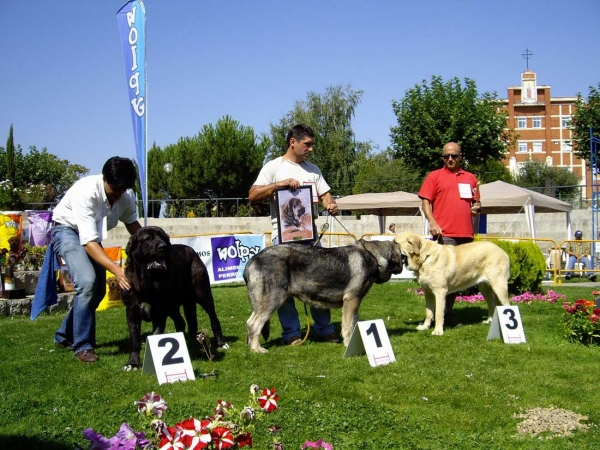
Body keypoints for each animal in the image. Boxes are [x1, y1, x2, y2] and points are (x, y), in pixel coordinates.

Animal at [120, 225, 226, 370]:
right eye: (147, 238)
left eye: (163, 237)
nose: (163, 246)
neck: (148, 281)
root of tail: (191, 250)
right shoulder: (132, 313)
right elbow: (135, 340)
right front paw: (132, 363)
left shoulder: (159, 314)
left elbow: (155, 336)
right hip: (172, 306)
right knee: (182, 321)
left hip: (203, 295)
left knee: (213, 318)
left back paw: (221, 343)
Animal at [243, 241, 404, 354]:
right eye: (403, 257)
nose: (404, 266)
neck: (374, 256)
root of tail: (252, 261)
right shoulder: (351, 300)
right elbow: (347, 326)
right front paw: (348, 344)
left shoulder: (355, 302)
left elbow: (354, 323)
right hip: (273, 301)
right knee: (254, 325)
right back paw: (256, 349)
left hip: (261, 303)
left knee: (249, 322)